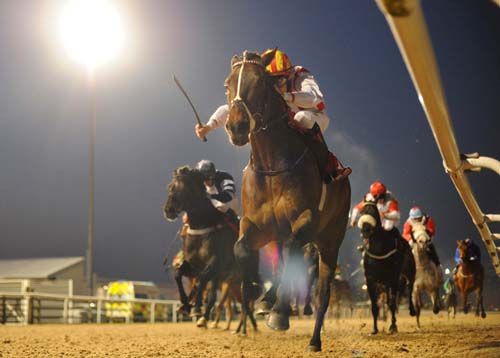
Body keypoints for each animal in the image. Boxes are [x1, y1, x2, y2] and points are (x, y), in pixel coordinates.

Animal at [224, 49, 352, 352]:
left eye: (260, 82)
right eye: (227, 84)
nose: (237, 126)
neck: (272, 166)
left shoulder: (306, 220)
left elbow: (293, 254)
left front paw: (279, 313)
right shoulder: (257, 226)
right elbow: (241, 248)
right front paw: (256, 292)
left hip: (330, 240)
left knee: (323, 291)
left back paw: (314, 339)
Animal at [358, 200, 416, 334]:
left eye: (373, 211)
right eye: (362, 212)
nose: (366, 230)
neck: (379, 250)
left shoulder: (393, 278)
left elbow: (392, 303)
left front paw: (393, 326)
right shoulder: (370, 280)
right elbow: (375, 306)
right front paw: (374, 329)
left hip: (409, 272)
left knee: (410, 288)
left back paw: (412, 310)